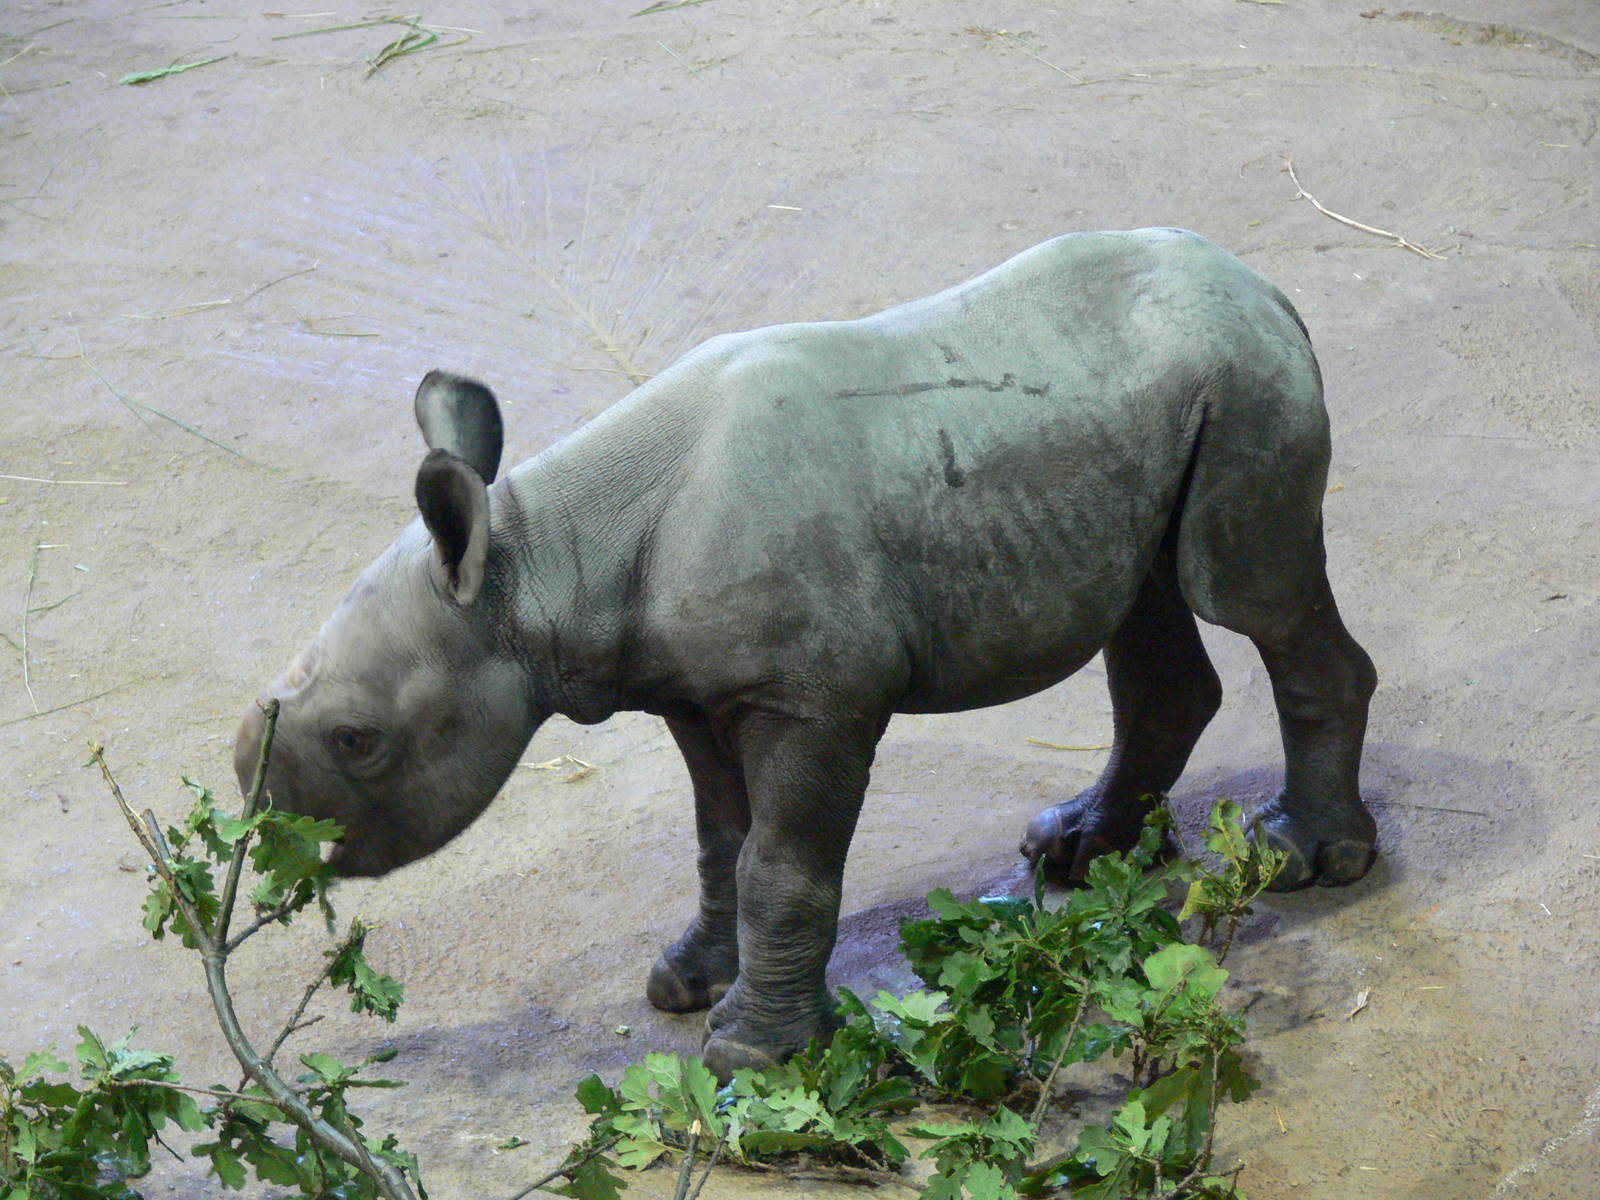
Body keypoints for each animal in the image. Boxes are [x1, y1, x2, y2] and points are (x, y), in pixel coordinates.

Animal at [235, 228, 1377, 1077]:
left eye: (358, 740)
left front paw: (751, 1054)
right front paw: (688, 985)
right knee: (1146, 607)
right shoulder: (696, 690)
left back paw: (1304, 862)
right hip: (1155, 401)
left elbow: (782, 862)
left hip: (1242, 382)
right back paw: (1075, 854)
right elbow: (721, 842)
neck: (543, 561)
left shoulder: (813, 695)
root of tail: (1272, 292)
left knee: (1247, 590)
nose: (262, 820)